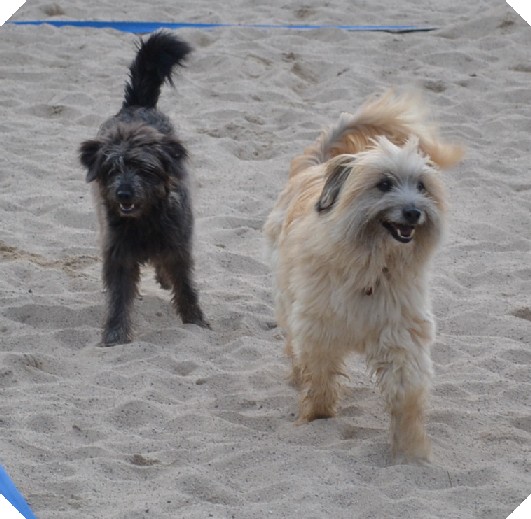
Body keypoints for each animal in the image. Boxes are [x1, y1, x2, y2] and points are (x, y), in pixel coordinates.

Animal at [79, 32, 209, 346]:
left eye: (144, 168)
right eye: (112, 169)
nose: (123, 194)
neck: (145, 218)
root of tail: (136, 106)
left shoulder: (178, 245)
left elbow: (185, 286)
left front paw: (195, 321)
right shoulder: (118, 252)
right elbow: (118, 296)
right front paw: (115, 335)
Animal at [264, 90, 463, 462]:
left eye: (421, 186)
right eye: (384, 184)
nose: (413, 212)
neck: (372, 264)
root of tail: (318, 167)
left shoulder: (401, 333)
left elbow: (405, 392)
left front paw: (411, 447)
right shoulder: (318, 328)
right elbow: (320, 377)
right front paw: (316, 416)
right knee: (293, 345)